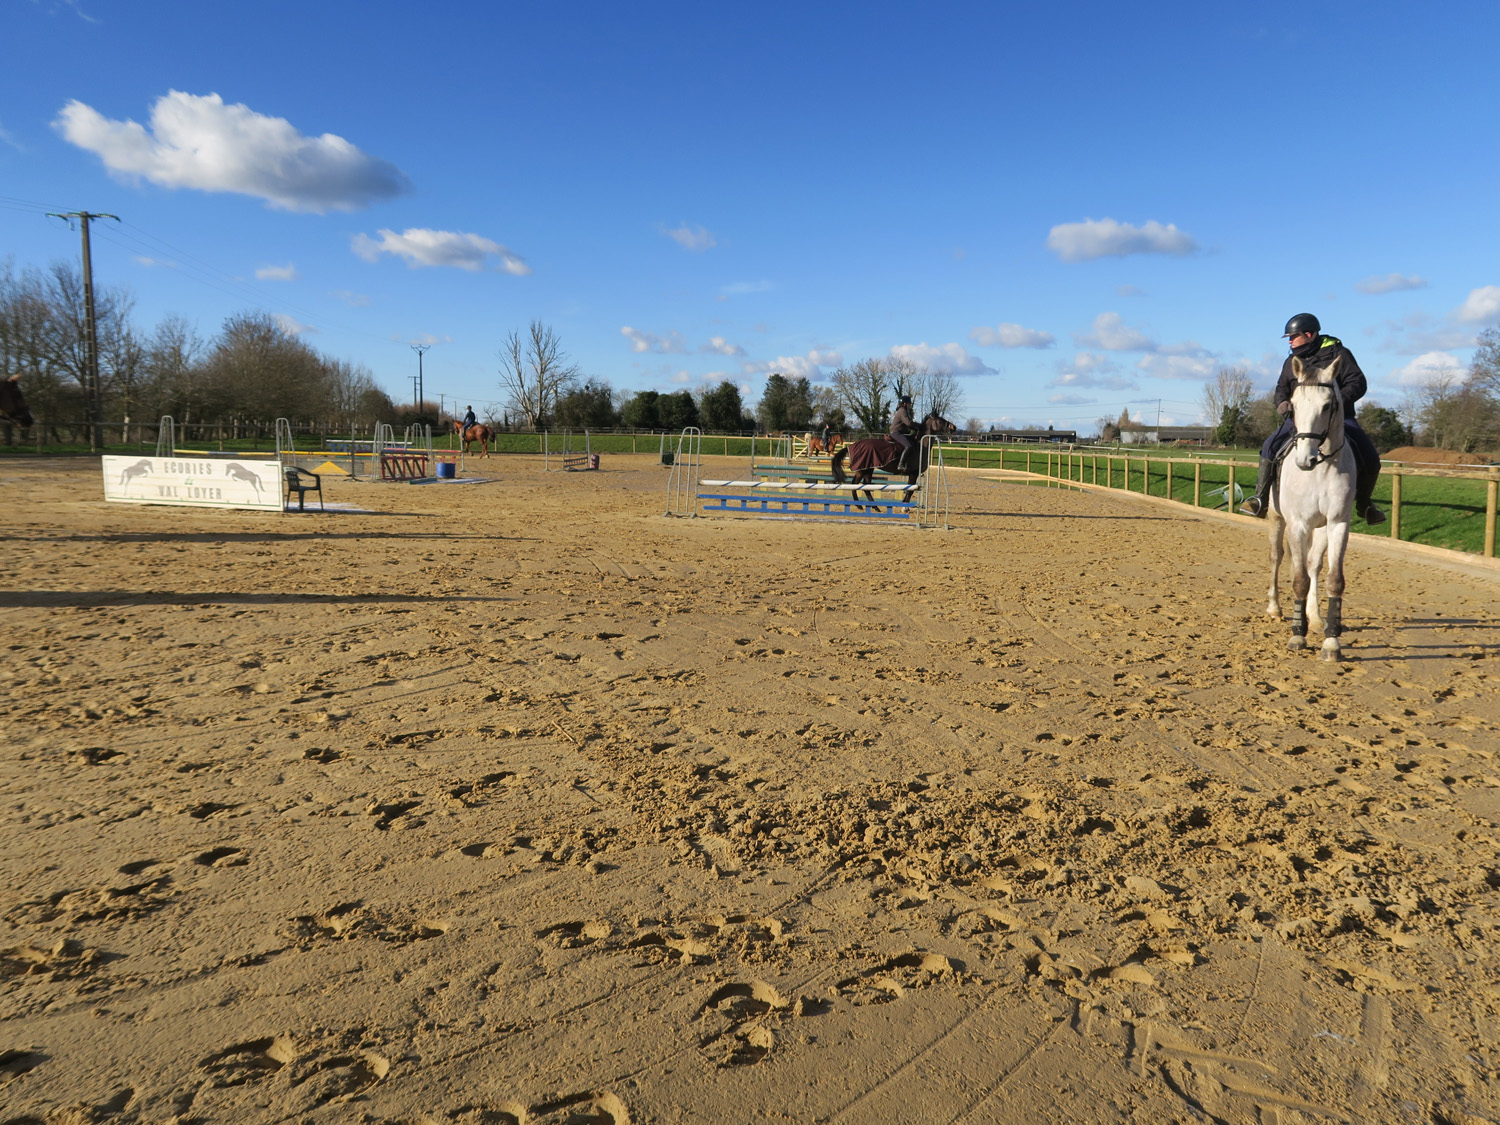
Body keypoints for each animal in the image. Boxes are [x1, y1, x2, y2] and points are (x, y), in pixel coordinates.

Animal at [1266, 358, 1362, 660]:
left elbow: (1333, 580)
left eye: (1328, 405)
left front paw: (1331, 640)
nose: (1304, 460)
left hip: (1320, 529)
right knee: (1277, 557)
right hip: (1277, 519)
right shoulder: (1298, 524)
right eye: (1294, 405)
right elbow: (1298, 580)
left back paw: (1316, 617)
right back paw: (1275, 608)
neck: (1321, 469)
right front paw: (1298, 635)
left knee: (1312, 565)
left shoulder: (1338, 523)